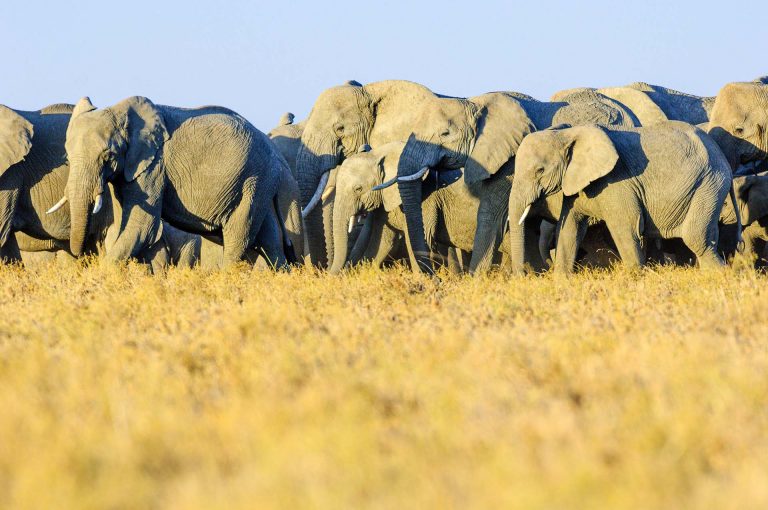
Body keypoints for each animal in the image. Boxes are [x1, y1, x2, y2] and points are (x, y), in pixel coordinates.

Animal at [60, 97, 292, 268]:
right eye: (68, 158)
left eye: (108, 156)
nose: (81, 255)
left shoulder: (154, 166)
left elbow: (141, 226)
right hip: (260, 182)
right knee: (269, 241)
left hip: (254, 179)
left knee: (238, 237)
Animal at [392, 90, 640, 274]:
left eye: (445, 134)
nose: (434, 280)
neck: (475, 103)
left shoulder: (510, 161)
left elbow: (491, 214)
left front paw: (478, 280)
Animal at [510, 121, 732, 272]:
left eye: (539, 170)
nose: (524, 275)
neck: (568, 133)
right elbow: (570, 230)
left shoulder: (617, 182)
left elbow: (626, 226)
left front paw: (636, 277)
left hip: (709, 183)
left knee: (696, 238)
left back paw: (720, 276)